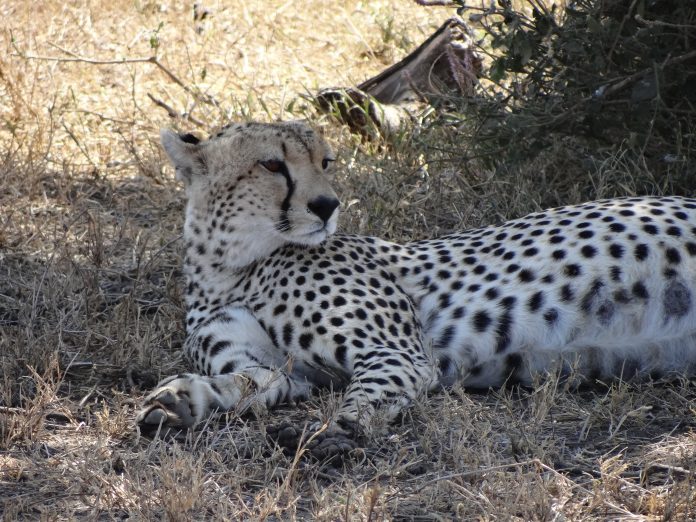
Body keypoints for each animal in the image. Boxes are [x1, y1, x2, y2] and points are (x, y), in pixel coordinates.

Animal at [136, 120, 696, 448]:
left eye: (326, 162)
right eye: (272, 164)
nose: (327, 205)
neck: (231, 268)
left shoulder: (401, 353)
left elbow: (369, 390)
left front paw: (342, 429)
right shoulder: (286, 372)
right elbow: (249, 381)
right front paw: (183, 400)